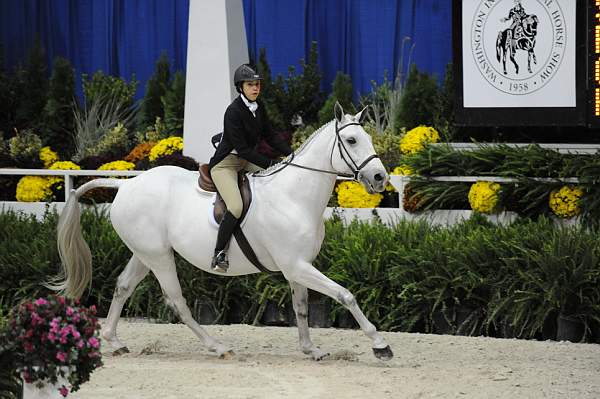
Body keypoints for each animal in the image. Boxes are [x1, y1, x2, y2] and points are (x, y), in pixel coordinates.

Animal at [52, 102, 394, 362]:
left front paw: (311, 349)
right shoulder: (297, 266)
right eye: (351, 140)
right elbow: (345, 295)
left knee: (123, 287)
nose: (380, 178)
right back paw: (218, 347)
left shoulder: (297, 267)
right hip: (159, 258)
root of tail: (126, 185)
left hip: (145, 253)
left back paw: (114, 341)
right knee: (176, 301)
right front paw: (380, 345)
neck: (293, 196)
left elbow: (301, 308)